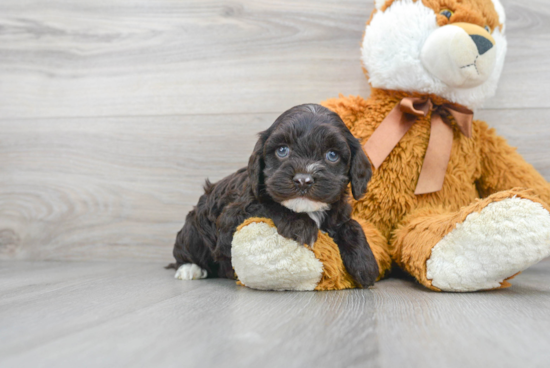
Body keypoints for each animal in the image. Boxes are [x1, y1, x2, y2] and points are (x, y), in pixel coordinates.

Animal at [170, 103, 382, 288]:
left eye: (332, 155)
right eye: (282, 150)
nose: (303, 180)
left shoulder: (339, 213)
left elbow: (352, 224)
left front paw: (366, 263)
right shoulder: (232, 217)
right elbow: (268, 205)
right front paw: (300, 224)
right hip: (193, 231)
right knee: (184, 251)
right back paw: (190, 269)